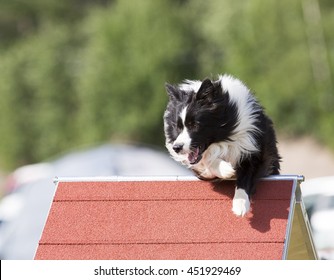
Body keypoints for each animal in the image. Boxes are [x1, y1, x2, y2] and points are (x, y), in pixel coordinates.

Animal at [163, 74, 280, 217]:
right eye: (177, 126)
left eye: (194, 125)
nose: (177, 148)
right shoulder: (201, 170)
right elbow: (208, 161)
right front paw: (226, 170)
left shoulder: (254, 149)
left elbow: (246, 175)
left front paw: (240, 205)